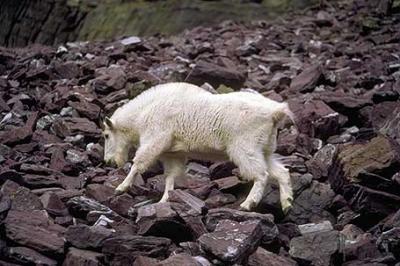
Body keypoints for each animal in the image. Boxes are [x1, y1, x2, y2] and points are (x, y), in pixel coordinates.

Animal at [103, 82, 294, 211]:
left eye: (106, 135)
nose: (108, 162)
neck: (142, 114)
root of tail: (275, 112)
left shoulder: (154, 139)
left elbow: (138, 164)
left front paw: (121, 187)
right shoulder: (173, 153)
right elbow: (170, 176)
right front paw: (165, 200)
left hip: (245, 147)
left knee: (261, 174)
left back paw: (248, 204)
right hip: (264, 149)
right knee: (281, 172)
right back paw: (287, 203)